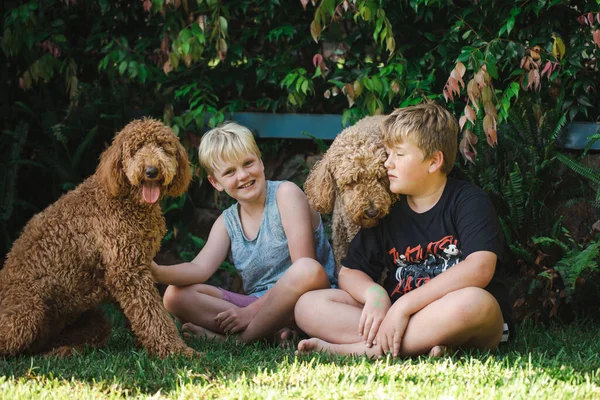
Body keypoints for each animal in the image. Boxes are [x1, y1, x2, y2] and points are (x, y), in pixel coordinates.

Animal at [0, 119, 197, 360]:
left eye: (162, 147)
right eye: (135, 149)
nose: (151, 171)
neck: (126, 200)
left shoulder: (127, 270)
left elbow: (142, 314)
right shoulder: (127, 271)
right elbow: (153, 316)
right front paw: (176, 351)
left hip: (91, 320)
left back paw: (63, 352)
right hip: (29, 312)